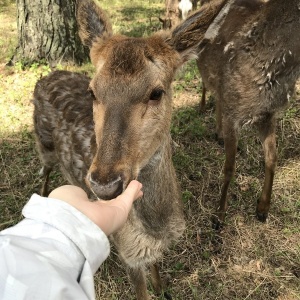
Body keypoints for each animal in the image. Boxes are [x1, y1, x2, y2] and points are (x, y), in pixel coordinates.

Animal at [32, 0, 231, 298]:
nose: (104, 184)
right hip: (42, 142)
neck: (157, 228)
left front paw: (162, 288)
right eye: (92, 91)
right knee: (44, 171)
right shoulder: (127, 252)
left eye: (156, 92)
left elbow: (156, 267)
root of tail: (46, 76)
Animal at [198, 0, 298, 229]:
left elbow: (272, 158)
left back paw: (218, 134)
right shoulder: (234, 116)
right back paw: (202, 108)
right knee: (206, 83)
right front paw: (219, 216)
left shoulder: (268, 115)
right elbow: (229, 167)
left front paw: (262, 209)